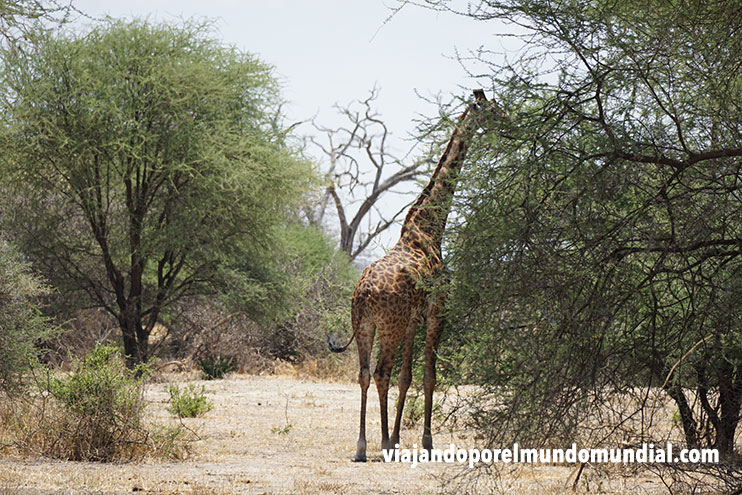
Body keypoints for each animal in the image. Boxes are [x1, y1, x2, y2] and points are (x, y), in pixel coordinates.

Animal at [329, 89, 499, 462]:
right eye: (493, 109)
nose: (510, 119)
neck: (430, 229)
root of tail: (363, 292)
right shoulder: (437, 312)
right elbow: (428, 375)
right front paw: (425, 441)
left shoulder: (411, 321)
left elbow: (407, 376)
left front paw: (395, 438)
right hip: (387, 325)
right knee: (381, 372)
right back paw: (377, 444)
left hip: (364, 324)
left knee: (364, 374)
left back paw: (362, 447)